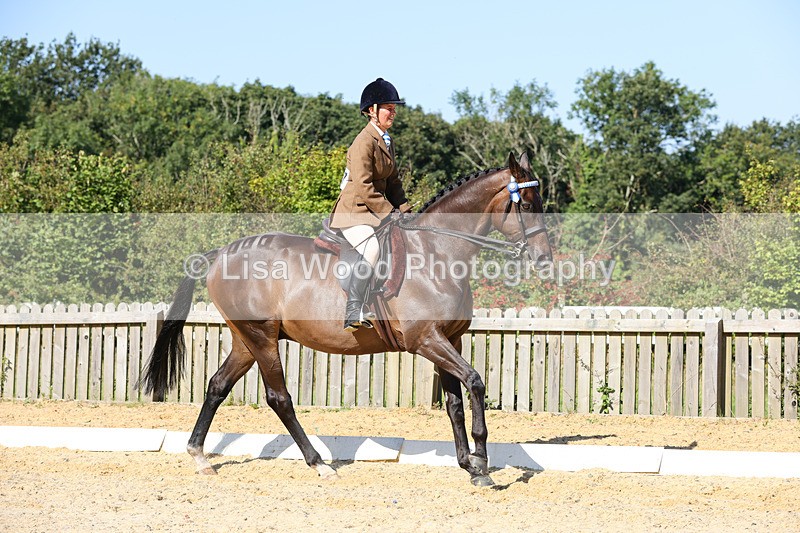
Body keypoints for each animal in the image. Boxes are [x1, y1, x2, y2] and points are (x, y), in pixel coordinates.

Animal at [142, 152, 552, 487]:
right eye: (528, 204)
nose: (545, 259)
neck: (438, 252)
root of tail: (221, 253)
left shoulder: (449, 339)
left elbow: (454, 403)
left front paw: (470, 466)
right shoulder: (426, 341)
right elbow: (475, 382)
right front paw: (481, 459)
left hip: (247, 340)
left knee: (217, 386)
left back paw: (199, 456)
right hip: (262, 338)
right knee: (279, 398)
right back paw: (319, 464)